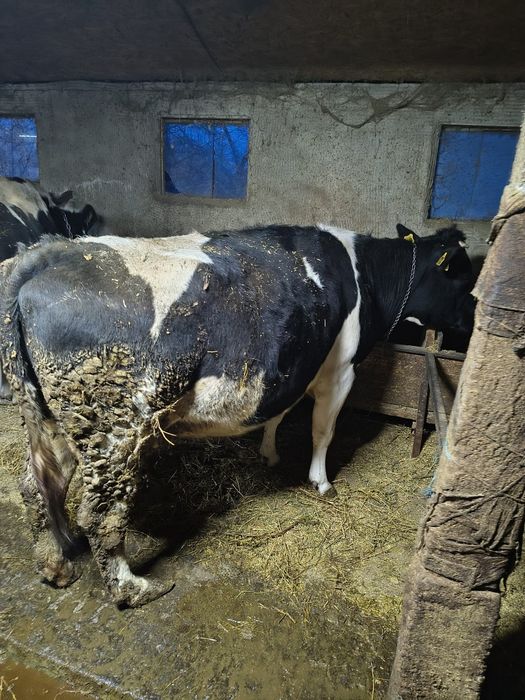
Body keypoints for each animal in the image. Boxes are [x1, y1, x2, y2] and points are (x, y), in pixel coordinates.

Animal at [0, 223, 475, 607]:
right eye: (464, 278)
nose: (472, 323)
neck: (364, 276)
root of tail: (42, 255)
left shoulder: (290, 367)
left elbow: (277, 414)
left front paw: (269, 454)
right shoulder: (339, 370)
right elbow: (323, 431)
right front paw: (321, 482)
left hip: (50, 414)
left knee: (38, 484)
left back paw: (57, 563)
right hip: (113, 421)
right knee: (100, 511)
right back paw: (133, 590)